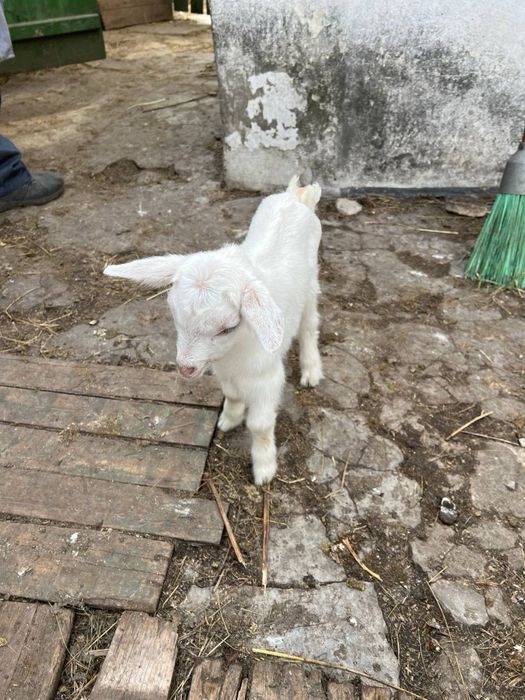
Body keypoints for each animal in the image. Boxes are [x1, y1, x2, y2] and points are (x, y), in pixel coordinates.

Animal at [104, 176, 323, 484]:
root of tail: (296, 196)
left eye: (228, 327)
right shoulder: (224, 371)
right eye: (173, 313)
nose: (186, 368)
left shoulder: (266, 378)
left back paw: (311, 370)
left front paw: (264, 469)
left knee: (310, 325)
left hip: (312, 279)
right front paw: (229, 419)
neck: (236, 351)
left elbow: (260, 425)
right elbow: (232, 394)